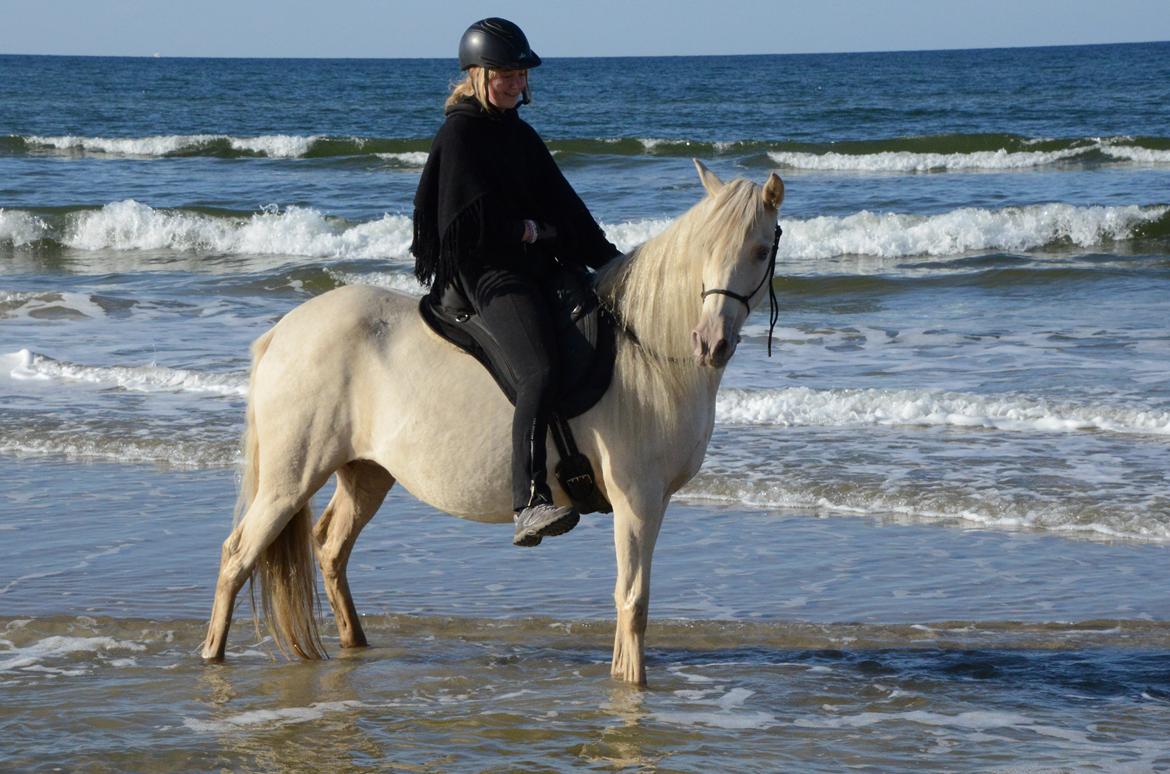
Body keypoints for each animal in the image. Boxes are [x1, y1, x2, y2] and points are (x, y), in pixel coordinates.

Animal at [201, 162, 786, 687]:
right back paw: (212, 656)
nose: (711, 343)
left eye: (760, 251)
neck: (646, 349)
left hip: (366, 473)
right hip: (289, 480)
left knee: (329, 550)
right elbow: (633, 600)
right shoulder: (636, 499)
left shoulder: (651, 500)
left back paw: (354, 645)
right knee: (236, 555)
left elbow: (631, 601)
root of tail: (280, 334)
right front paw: (631, 688)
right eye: (706, 251)